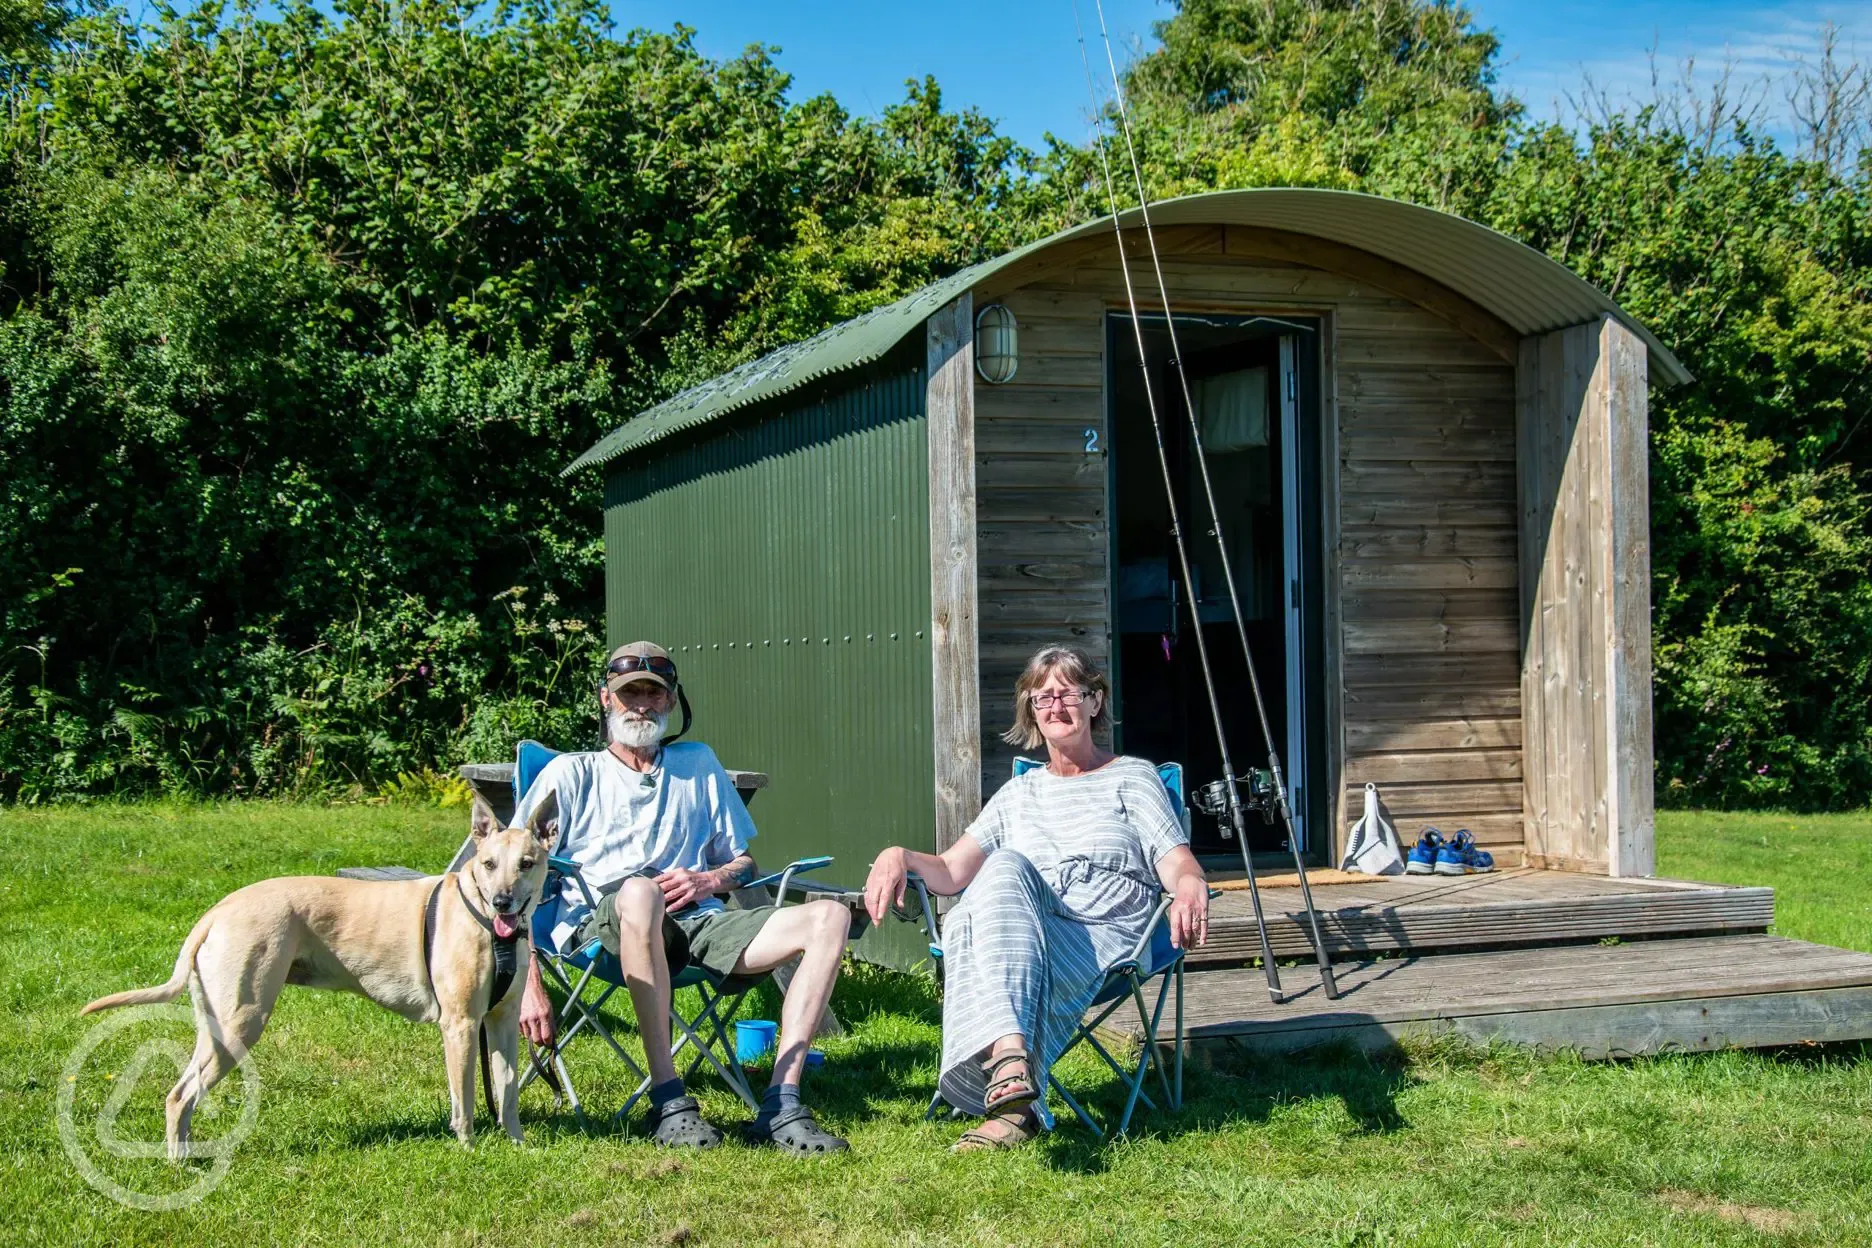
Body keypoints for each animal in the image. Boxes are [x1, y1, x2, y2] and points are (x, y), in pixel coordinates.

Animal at [82, 797, 554, 1160]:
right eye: (488, 864)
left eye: (526, 864)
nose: (503, 901)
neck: (485, 919)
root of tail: (217, 911)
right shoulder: (459, 1024)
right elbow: (465, 1100)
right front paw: (468, 1151)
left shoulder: (502, 1021)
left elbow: (508, 1090)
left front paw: (517, 1145)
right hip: (239, 1022)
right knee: (181, 1095)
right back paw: (179, 1164)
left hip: (215, 1024)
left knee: (182, 1092)